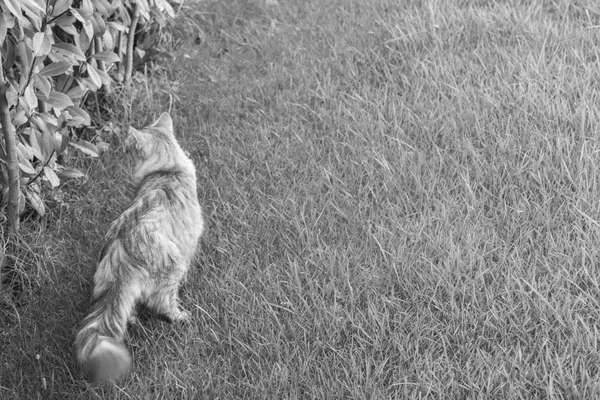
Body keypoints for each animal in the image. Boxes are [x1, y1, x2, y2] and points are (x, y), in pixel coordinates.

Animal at [72, 113, 204, 384]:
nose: (122, 150)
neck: (168, 170)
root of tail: (123, 252)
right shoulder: (191, 239)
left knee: (127, 311)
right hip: (172, 268)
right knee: (162, 305)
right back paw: (182, 317)